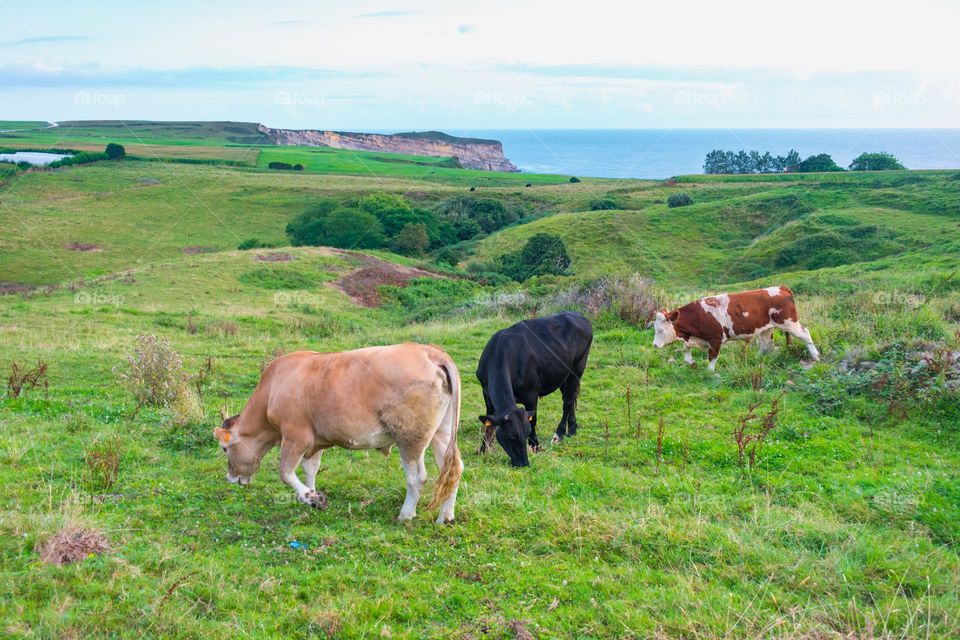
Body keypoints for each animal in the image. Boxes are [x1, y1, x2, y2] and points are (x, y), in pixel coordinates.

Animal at [213, 343, 463, 524]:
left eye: (225, 448)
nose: (230, 478)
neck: (272, 390)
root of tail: (431, 352)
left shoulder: (296, 436)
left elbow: (285, 472)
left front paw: (312, 498)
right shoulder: (315, 441)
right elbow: (310, 469)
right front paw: (312, 496)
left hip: (410, 437)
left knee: (417, 477)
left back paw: (406, 514)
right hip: (442, 433)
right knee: (452, 469)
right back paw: (445, 517)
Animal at [476, 311, 593, 467]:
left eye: (526, 434)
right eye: (511, 436)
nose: (523, 463)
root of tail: (579, 315)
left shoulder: (531, 393)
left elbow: (533, 420)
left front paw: (535, 447)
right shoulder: (486, 393)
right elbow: (489, 424)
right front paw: (483, 449)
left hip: (577, 369)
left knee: (568, 402)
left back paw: (559, 434)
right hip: (564, 374)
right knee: (570, 397)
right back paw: (573, 429)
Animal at [652, 285, 819, 371]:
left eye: (660, 330)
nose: (654, 345)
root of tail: (780, 287)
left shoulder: (715, 339)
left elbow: (712, 359)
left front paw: (710, 374)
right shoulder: (694, 338)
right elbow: (686, 351)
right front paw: (691, 362)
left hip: (789, 323)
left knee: (805, 333)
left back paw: (815, 356)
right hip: (766, 328)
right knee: (766, 344)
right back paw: (755, 360)